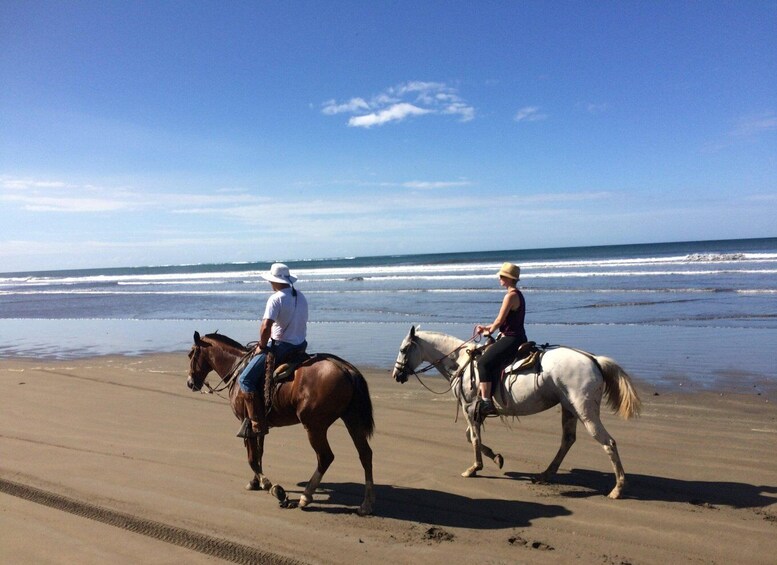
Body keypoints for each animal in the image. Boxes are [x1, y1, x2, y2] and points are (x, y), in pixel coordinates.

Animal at [185, 328, 372, 512]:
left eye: (191, 354)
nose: (190, 383)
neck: (237, 368)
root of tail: (346, 369)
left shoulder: (246, 424)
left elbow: (252, 459)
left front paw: (272, 488)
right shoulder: (259, 424)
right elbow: (259, 453)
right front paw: (255, 482)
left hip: (314, 426)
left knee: (325, 457)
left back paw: (306, 496)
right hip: (352, 420)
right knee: (365, 454)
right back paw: (366, 503)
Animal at [392, 326, 640, 498]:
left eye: (403, 349)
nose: (396, 375)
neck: (461, 363)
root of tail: (593, 360)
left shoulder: (469, 408)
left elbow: (473, 438)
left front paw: (475, 468)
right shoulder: (475, 412)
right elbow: (471, 437)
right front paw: (497, 458)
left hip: (584, 410)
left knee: (608, 443)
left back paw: (617, 489)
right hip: (568, 408)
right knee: (568, 440)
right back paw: (545, 474)